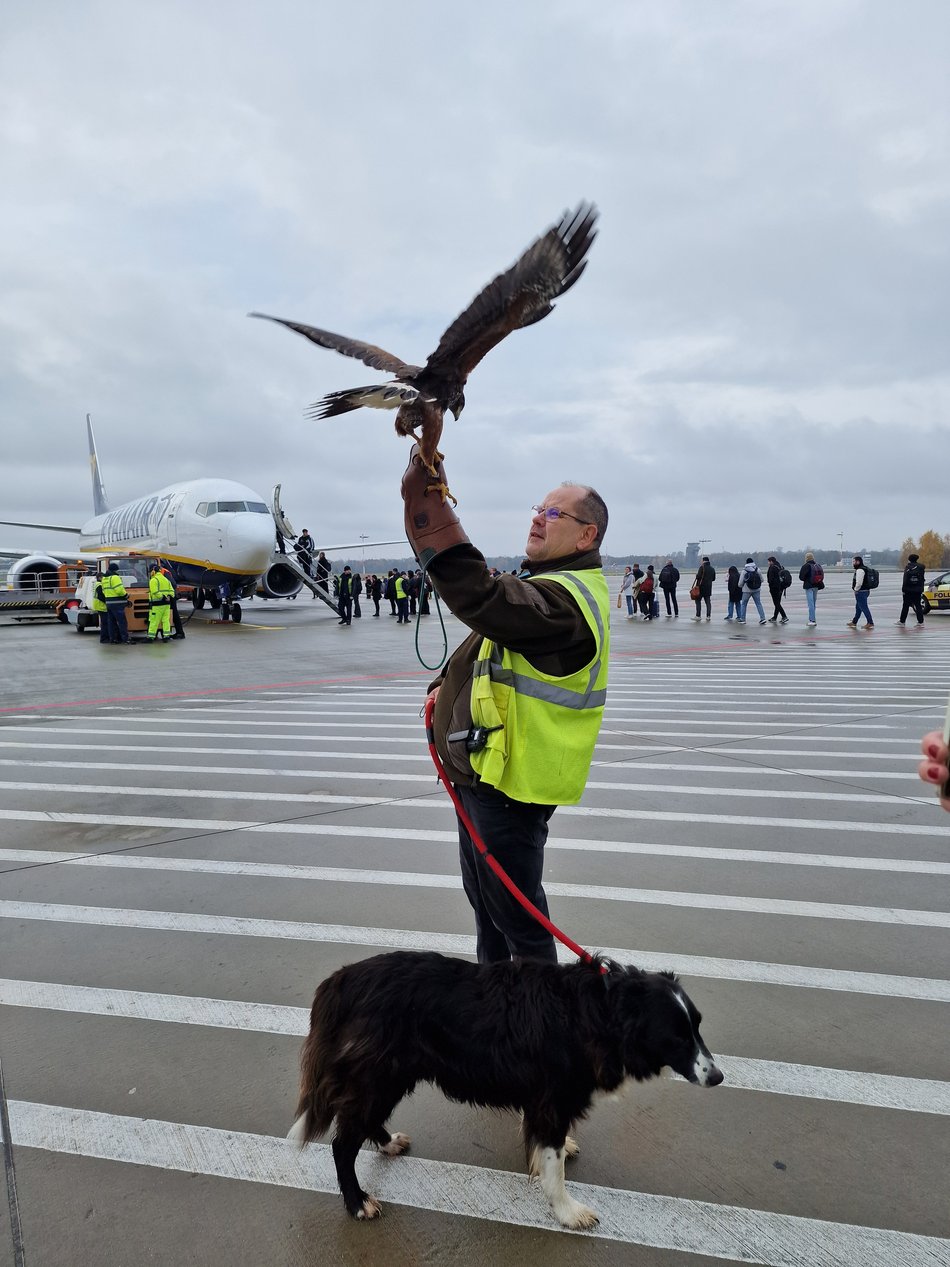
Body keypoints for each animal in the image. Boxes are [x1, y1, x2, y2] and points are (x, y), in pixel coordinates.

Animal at [290, 952, 719, 1226]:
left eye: (698, 1026)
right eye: (677, 1037)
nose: (717, 1077)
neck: (598, 1011)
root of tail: (339, 982)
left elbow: (548, 1146)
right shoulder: (552, 1099)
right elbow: (553, 1165)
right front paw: (568, 1212)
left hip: (386, 1076)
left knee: (363, 1123)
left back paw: (388, 1142)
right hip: (379, 1075)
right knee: (342, 1143)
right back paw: (357, 1203)